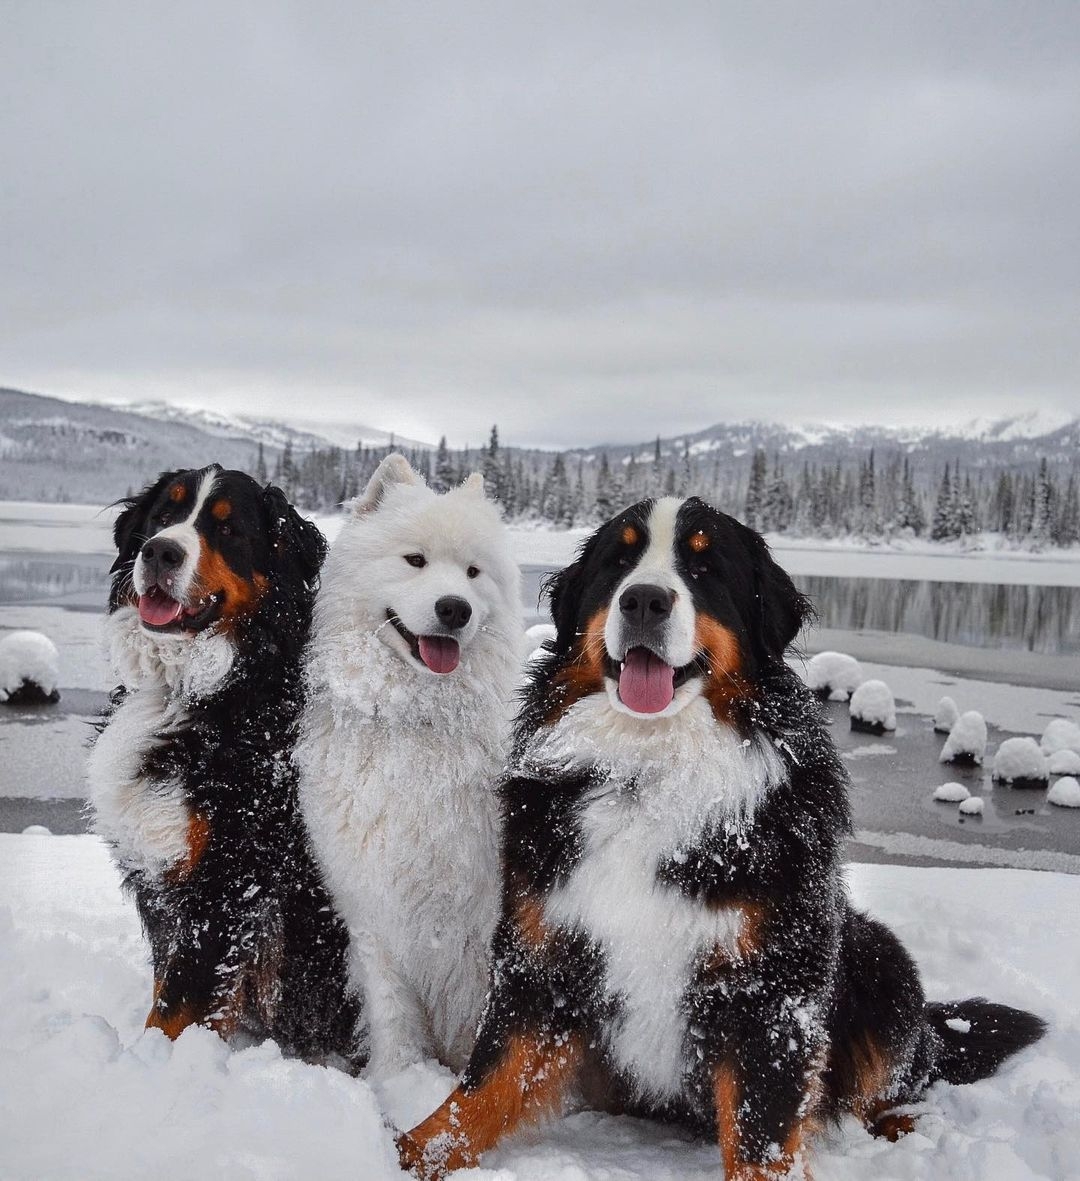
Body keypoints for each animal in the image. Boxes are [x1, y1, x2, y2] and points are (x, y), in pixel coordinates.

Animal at [88, 460, 356, 1062]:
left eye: (228, 529)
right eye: (164, 513)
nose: (160, 552)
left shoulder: (227, 883)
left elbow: (176, 1007)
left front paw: (156, 1065)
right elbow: (167, 987)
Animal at [296, 453, 524, 1081]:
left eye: (473, 572)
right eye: (415, 560)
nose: (455, 608)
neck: (416, 722)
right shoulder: (373, 910)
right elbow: (392, 1014)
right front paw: (398, 1083)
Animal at [397, 496, 1044, 1181]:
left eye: (706, 568)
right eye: (618, 561)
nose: (644, 601)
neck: (650, 773)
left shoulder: (771, 989)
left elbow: (762, 1136)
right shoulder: (543, 952)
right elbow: (481, 1089)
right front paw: (404, 1150)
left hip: (879, 957)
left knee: (901, 1074)